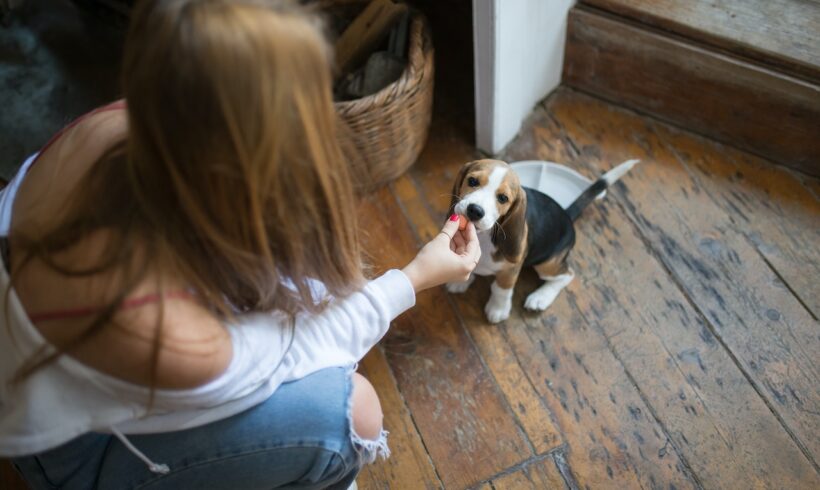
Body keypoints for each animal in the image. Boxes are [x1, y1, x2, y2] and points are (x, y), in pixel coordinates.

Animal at [446, 159, 636, 324]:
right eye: (472, 181)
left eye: (503, 198)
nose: (475, 210)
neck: (484, 236)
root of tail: (567, 215)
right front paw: (460, 280)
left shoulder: (511, 270)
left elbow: (501, 289)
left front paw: (498, 309)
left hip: (547, 264)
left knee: (567, 275)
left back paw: (541, 297)